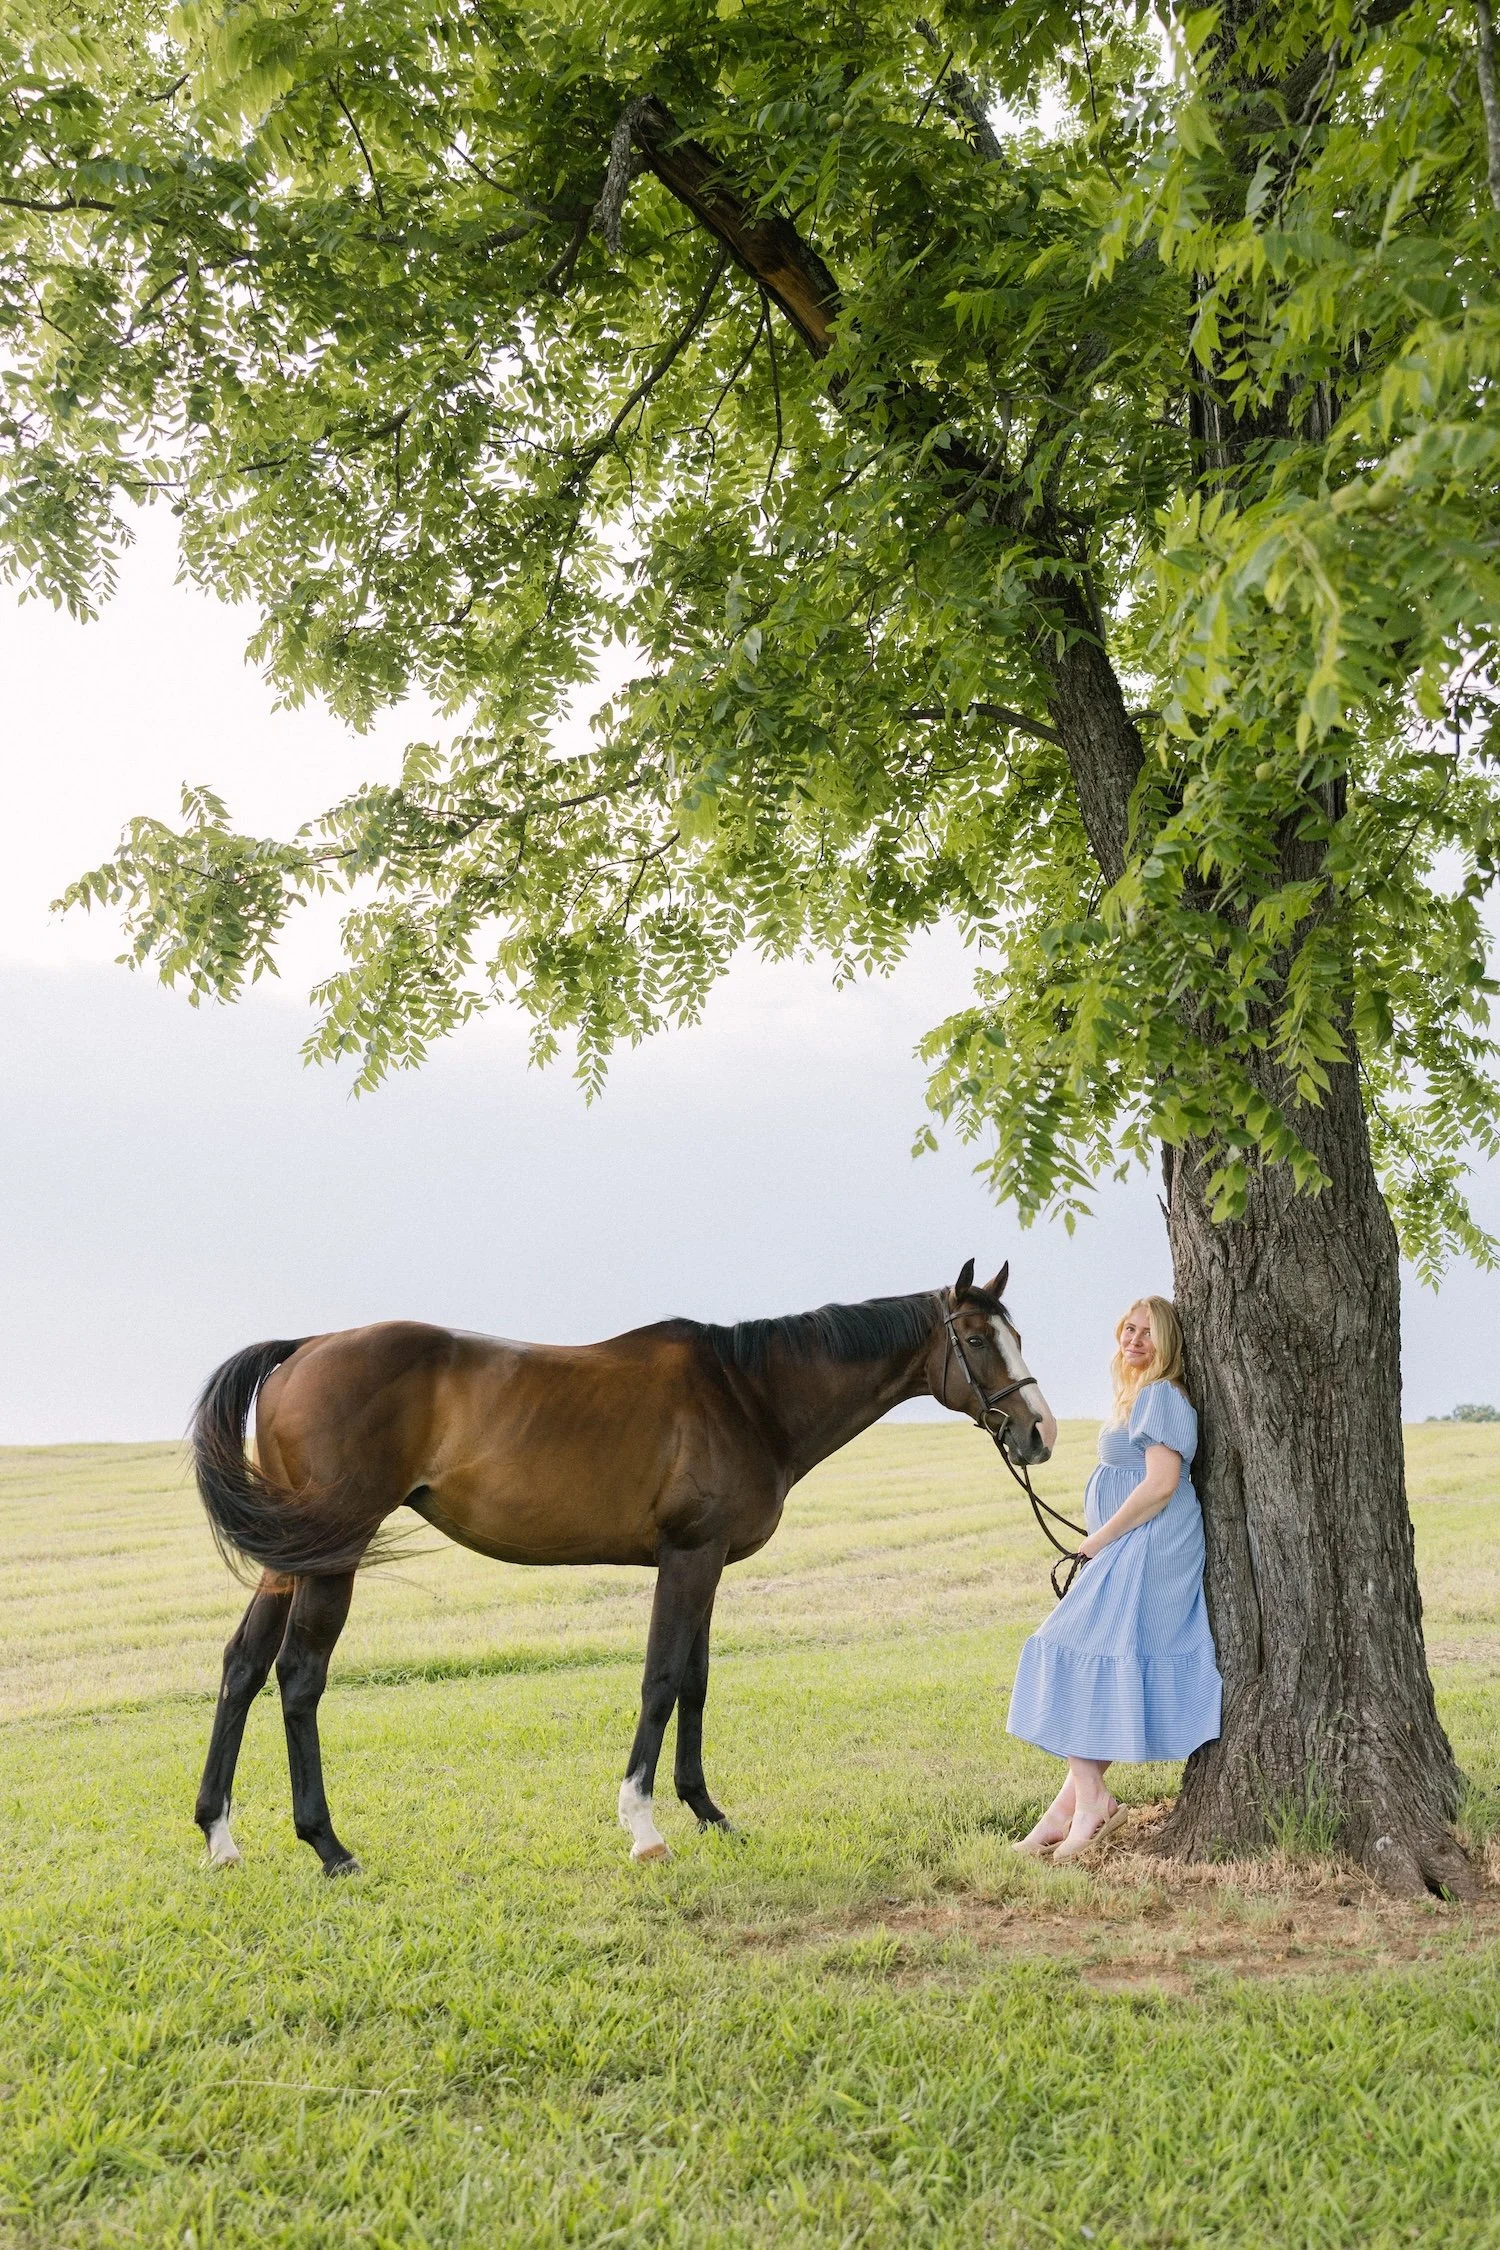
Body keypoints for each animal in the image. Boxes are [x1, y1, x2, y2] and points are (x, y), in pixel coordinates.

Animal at [190, 1258, 1055, 1874]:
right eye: (978, 1340)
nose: (1040, 1433)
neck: (747, 1394)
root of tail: (303, 1350)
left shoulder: (710, 1564)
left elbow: (696, 1682)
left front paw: (707, 1812)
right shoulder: (687, 1559)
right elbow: (662, 1679)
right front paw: (643, 1826)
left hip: (289, 1556)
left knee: (242, 1666)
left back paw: (221, 1836)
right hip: (333, 1555)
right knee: (298, 1677)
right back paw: (328, 1846)